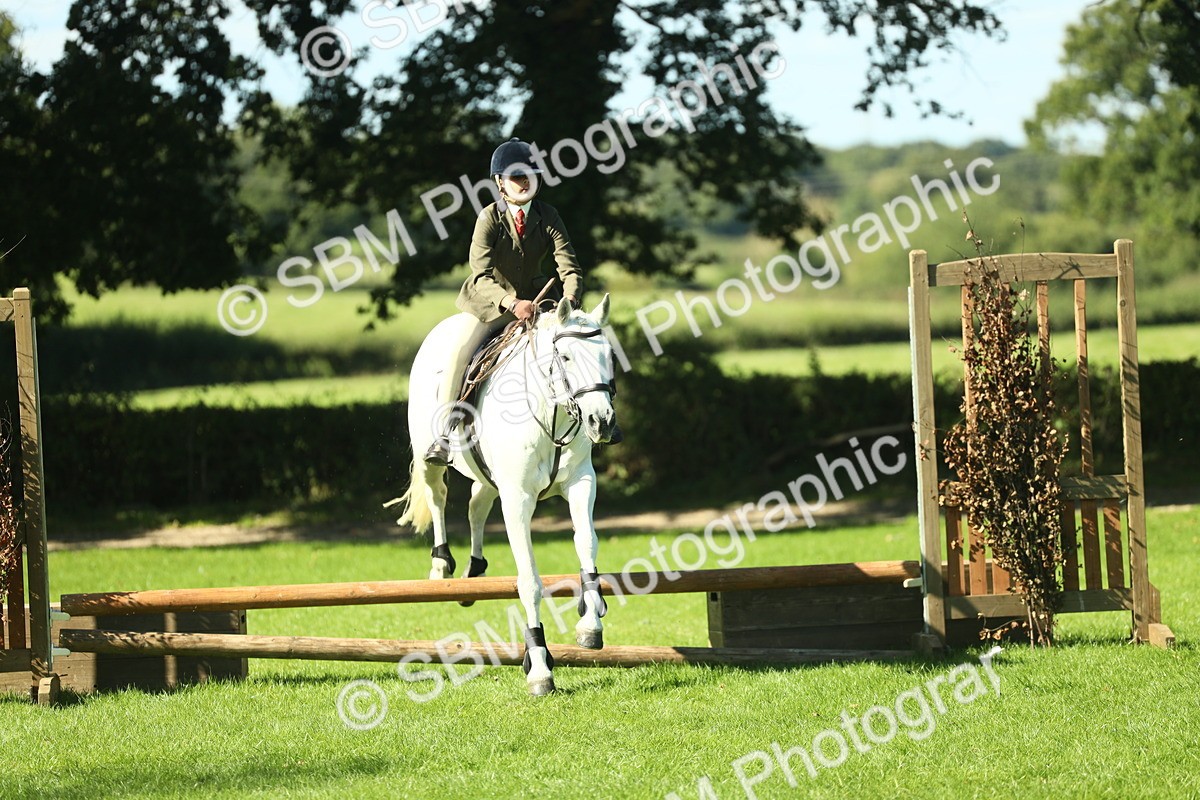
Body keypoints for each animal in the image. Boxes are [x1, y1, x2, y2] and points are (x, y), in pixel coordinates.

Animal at [391, 295, 619, 695]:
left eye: (608, 355)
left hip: (487, 477)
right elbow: (528, 580)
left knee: (476, 506)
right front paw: (539, 668)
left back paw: (474, 573)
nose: (602, 422)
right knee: (438, 497)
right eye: (566, 357)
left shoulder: (581, 482)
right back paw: (442, 565)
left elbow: (586, 543)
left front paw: (590, 624)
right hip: (428, 455)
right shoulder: (518, 498)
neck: (551, 410)